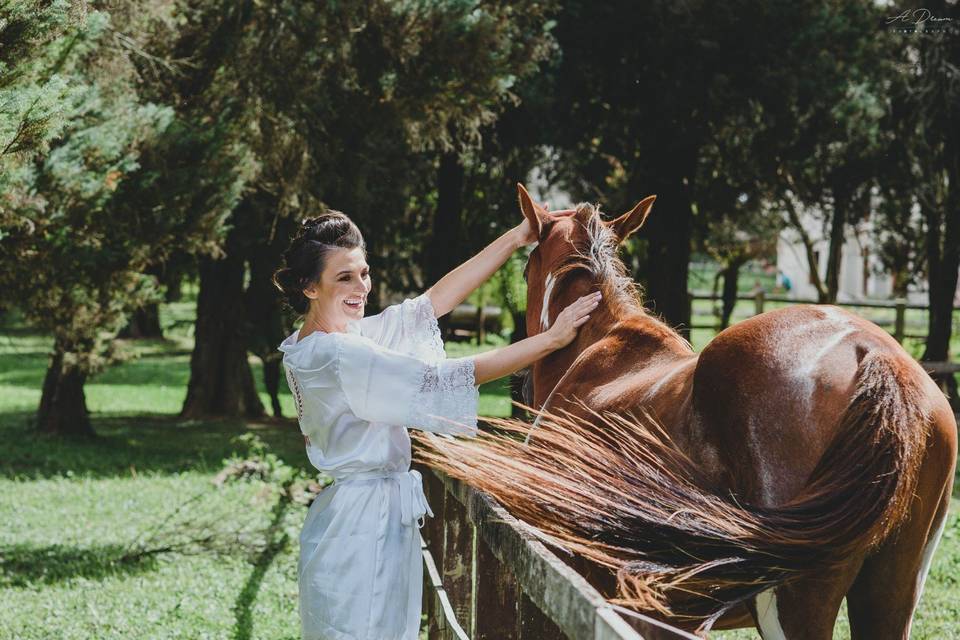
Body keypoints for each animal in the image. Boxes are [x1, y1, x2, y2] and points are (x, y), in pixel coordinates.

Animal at [416, 185, 956, 640]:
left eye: (527, 268)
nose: (523, 386)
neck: (598, 346)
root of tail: (871, 351)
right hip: (889, 596)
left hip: (790, 604)